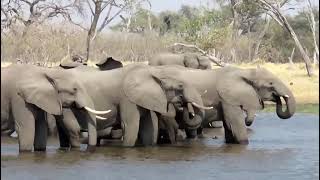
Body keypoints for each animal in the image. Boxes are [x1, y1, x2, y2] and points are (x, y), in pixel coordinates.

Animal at [146, 65, 296, 144]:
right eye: (270, 83)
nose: (279, 98)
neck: (245, 71)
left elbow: (229, 127)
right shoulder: (227, 98)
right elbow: (235, 124)